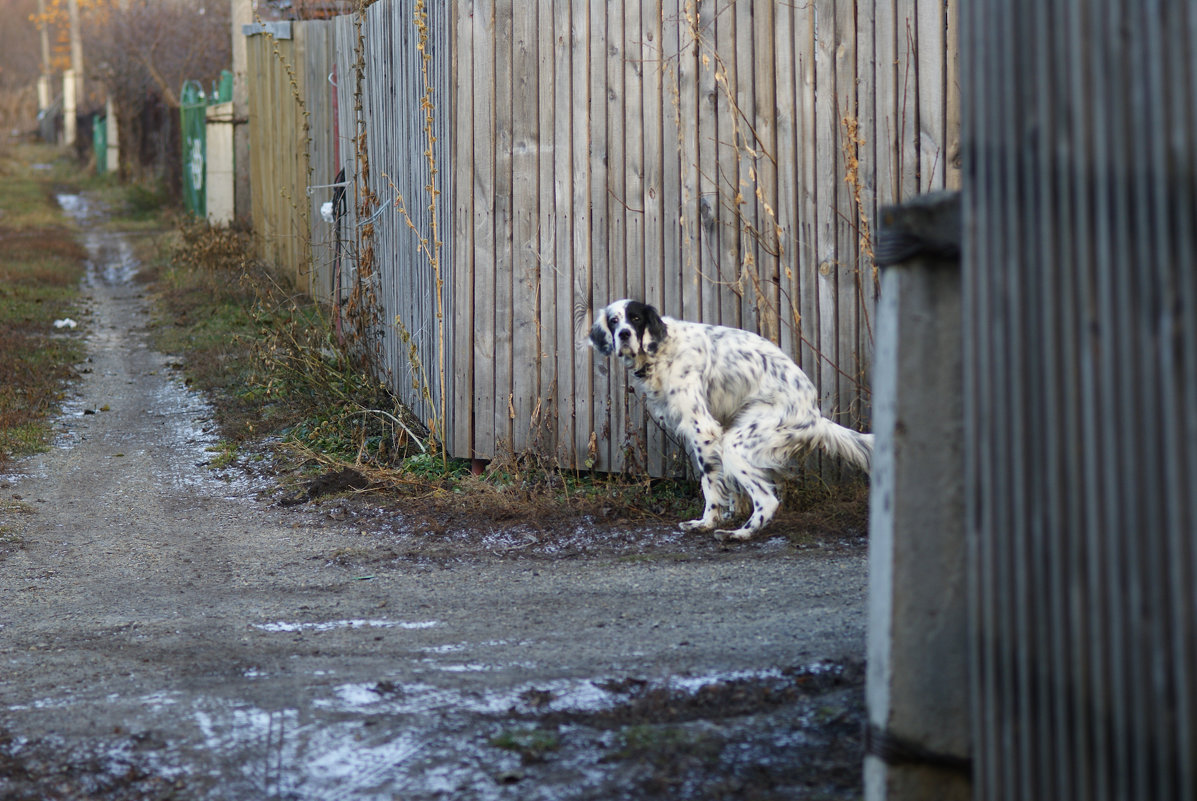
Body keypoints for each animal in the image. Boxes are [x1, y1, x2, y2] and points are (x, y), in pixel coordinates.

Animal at [593, 301, 876, 543]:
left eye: (636, 318)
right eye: (614, 320)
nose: (624, 334)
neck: (662, 349)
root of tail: (813, 415)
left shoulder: (703, 430)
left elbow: (709, 484)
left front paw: (707, 522)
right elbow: (727, 486)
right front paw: (728, 514)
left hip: (738, 444)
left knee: (768, 500)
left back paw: (738, 534)